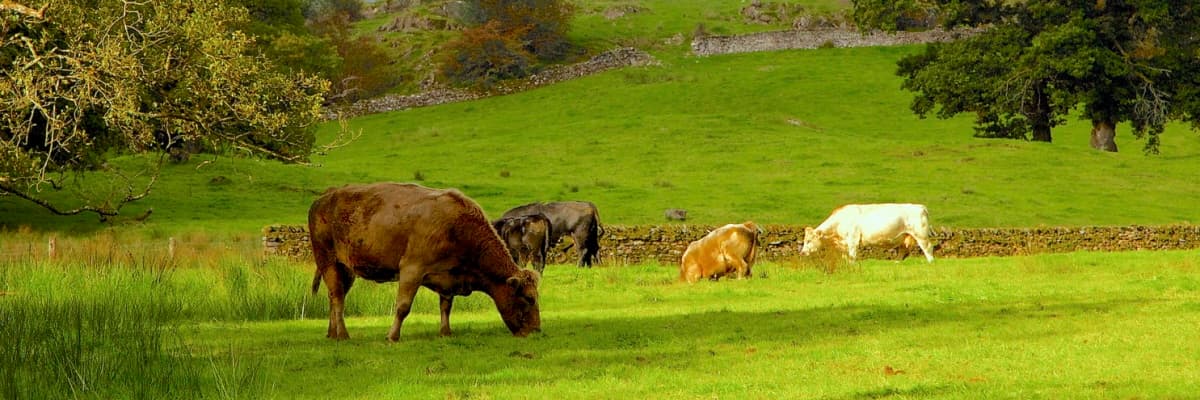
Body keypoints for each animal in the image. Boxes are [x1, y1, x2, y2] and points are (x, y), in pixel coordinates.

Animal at [307, 182, 542, 341]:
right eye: (529, 298)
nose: (537, 330)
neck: (458, 227)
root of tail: (326, 196)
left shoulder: (448, 275)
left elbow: (446, 306)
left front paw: (445, 332)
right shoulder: (412, 269)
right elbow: (403, 307)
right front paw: (392, 336)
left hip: (346, 268)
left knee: (335, 296)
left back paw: (331, 332)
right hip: (328, 260)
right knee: (338, 297)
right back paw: (342, 334)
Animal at [801, 203, 931, 261]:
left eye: (809, 241)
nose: (802, 253)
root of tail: (920, 206)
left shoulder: (853, 241)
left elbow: (852, 258)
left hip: (921, 235)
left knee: (928, 248)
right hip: (905, 237)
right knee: (903, 251)